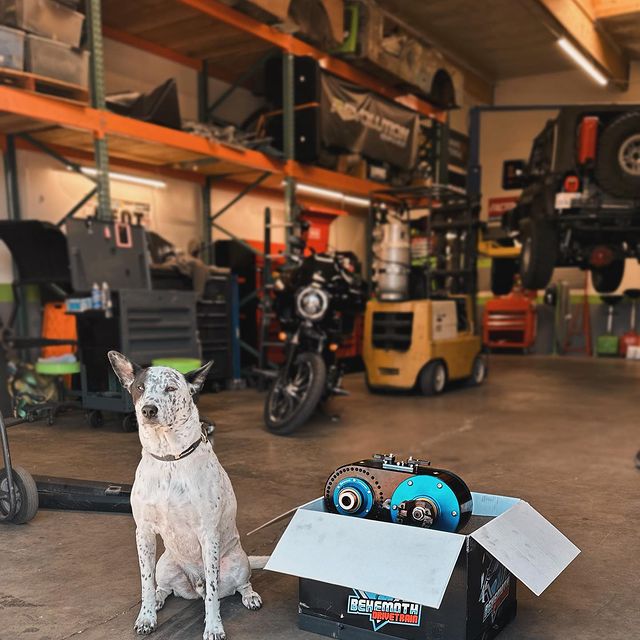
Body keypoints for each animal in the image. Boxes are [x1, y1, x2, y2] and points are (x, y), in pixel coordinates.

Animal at [108, 351, 264, 640]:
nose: (148, 410)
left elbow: (213, 594)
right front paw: (147, 617)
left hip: (238, 563)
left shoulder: (208, 535)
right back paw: (159, 599)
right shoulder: (143, 532)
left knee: (239, 584)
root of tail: (194, 584)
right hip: (165, 565)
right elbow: (145, 583)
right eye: (140, 388)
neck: (170, 459)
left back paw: (250, 596)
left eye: (170, 388)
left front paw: (213, 627)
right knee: (163, 587)